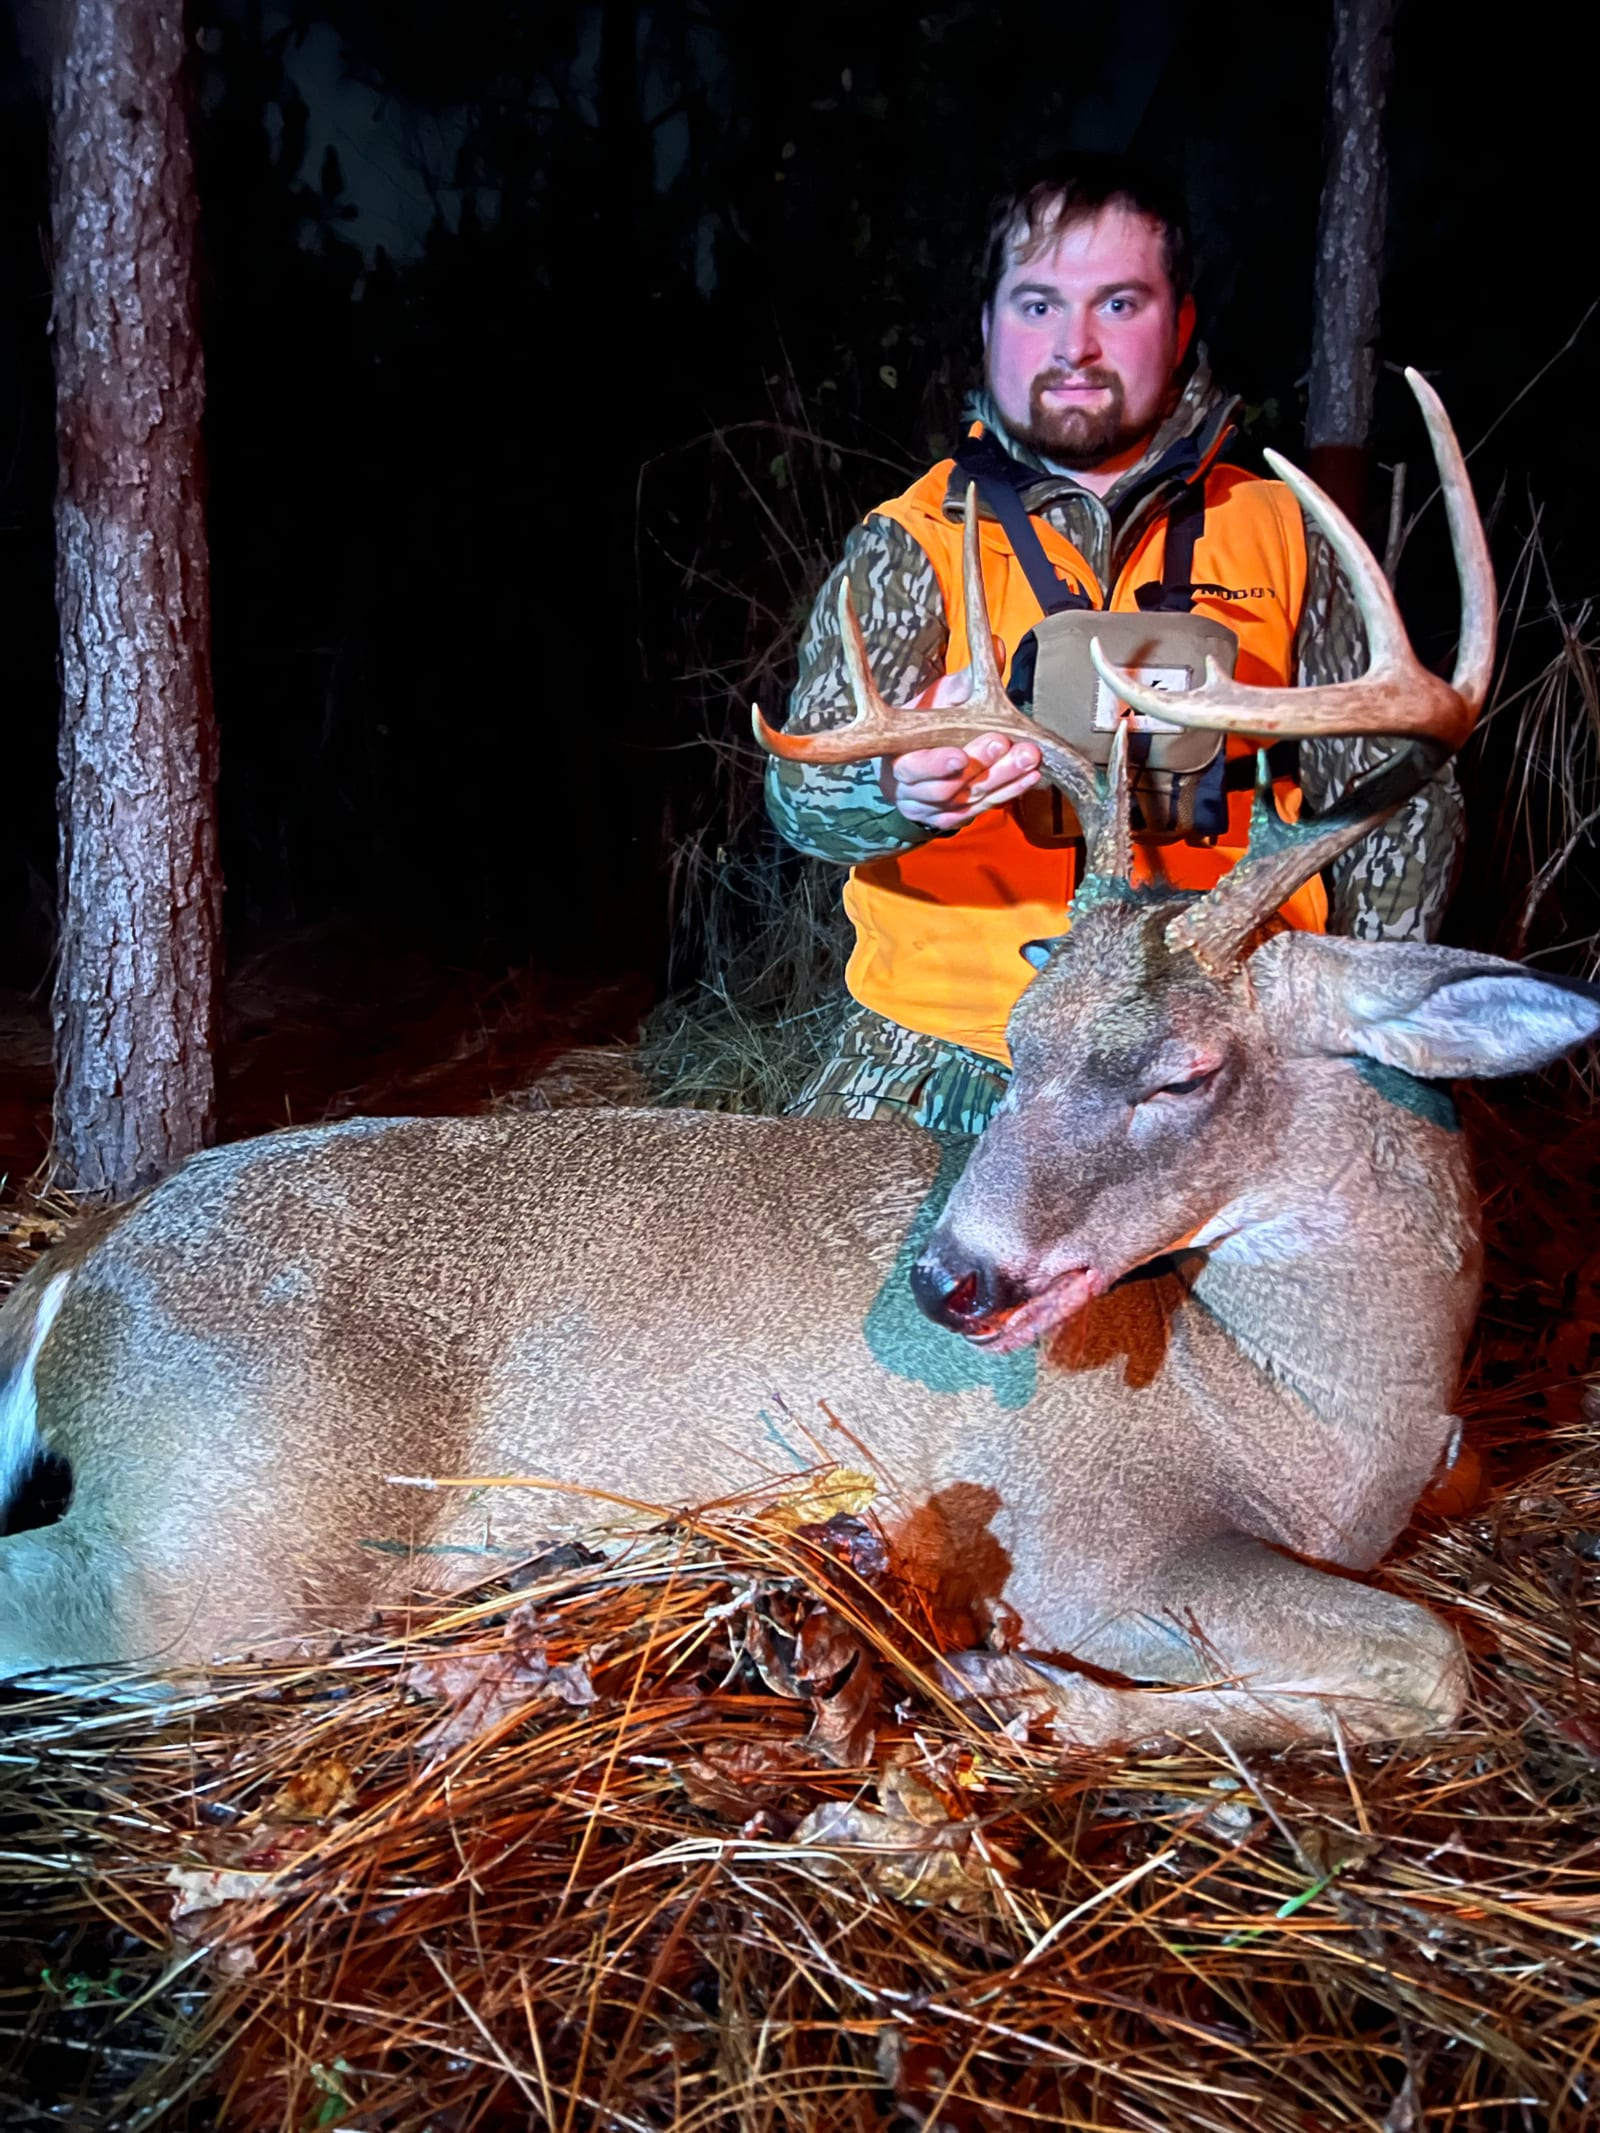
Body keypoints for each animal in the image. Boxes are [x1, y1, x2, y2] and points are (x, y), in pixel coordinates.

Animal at [1, 373, 1594, 1750]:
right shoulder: (1083, 1533)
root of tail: (88, 1259)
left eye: (1183, 1072)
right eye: (1020, 1045)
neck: (1307, 1415)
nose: (949, 1281)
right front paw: (1035, 1695)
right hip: (237, 1526)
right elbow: (1430, 1655)